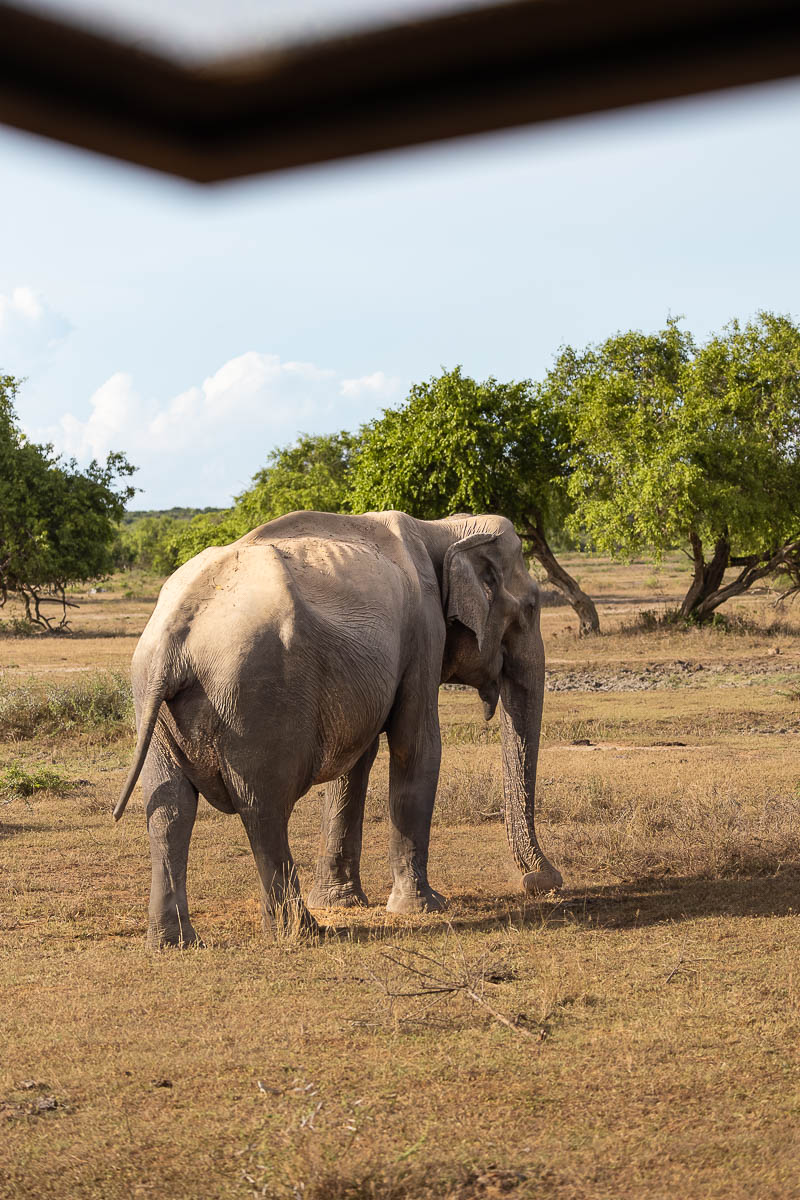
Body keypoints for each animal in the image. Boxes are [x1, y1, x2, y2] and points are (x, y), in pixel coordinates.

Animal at [114, 509, 562, 946]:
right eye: (532, 607)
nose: (540, 881)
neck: (442, 529)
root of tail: (175, 632)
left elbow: (357, 761)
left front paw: (342, 901)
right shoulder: (423, 632)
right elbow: (416, 747)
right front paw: (424, 907)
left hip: (152, 696)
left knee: (169, 808)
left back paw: (174, 942)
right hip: (258, 696)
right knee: (263, 807)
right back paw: (304, 932)